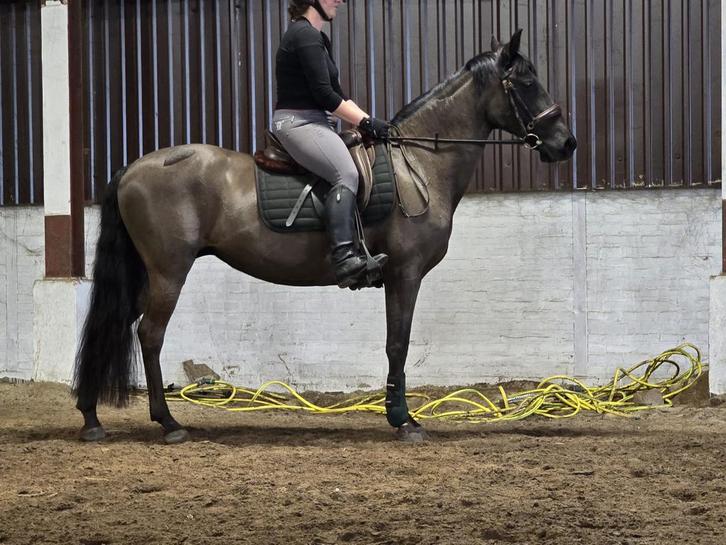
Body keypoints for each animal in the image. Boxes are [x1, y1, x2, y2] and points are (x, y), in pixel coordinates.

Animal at [73, 30, 576, 444]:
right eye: (526, 83)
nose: (566, 143)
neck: (419, 163)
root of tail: (133, 168)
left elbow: (397, 343)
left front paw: (403, 417)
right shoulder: (405, 273)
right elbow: (398, 343)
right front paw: (403, 421)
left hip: (147, 272)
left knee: (116, 324)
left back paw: (92, 417)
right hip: (168, 270)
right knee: (150, 333)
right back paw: (168, 423)